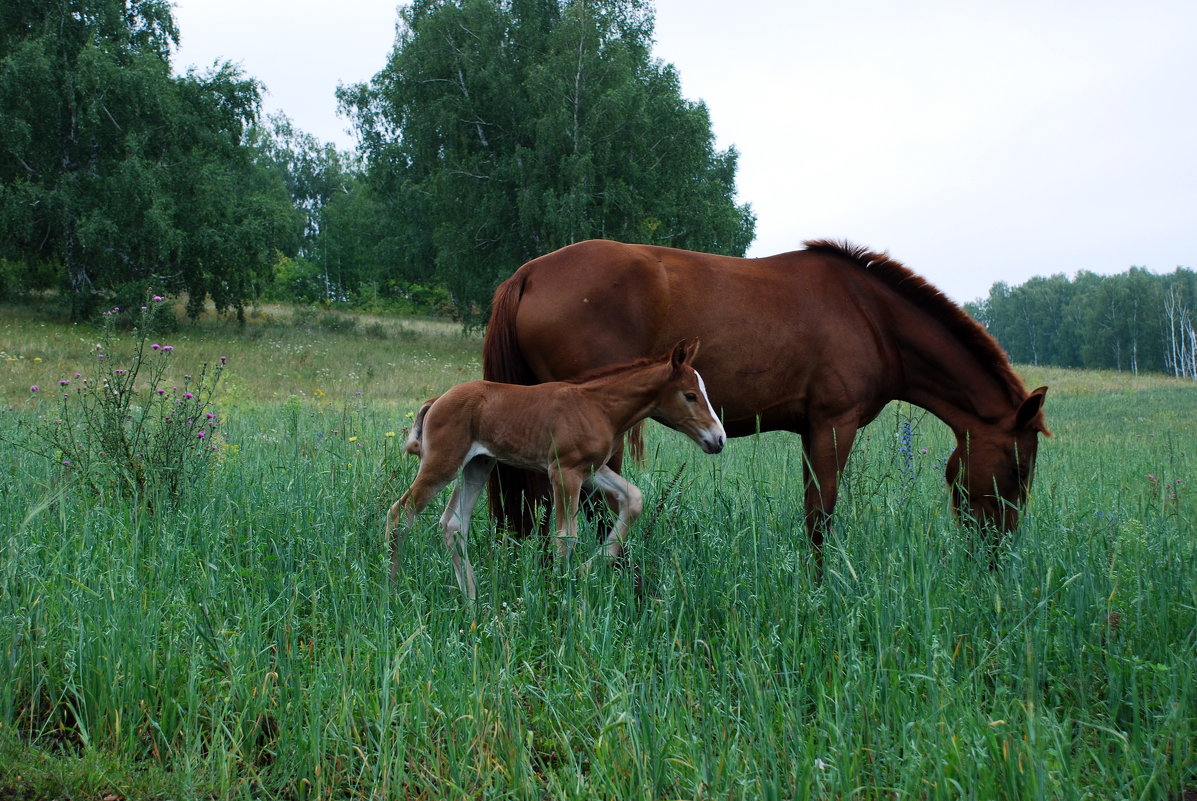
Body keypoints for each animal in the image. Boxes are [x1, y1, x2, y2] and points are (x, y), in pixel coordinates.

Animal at [387, 337, 722, 598]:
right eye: (690, 395)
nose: (718, 439)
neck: (599, 407)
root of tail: (437, 399)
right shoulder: (564, 471)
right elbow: (565, 536)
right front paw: (561, 591)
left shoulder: (592, 470)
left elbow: (634, 499)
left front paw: (588, 569)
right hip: (443, 463)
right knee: (400, 512)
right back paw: (391, 590)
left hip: (478, 465)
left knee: (453, 524)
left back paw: (472, 600)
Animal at [478, 237, 1048, 550]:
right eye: (1018, 469)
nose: (997, 548)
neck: (872, 315)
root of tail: (529, 273)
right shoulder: (833, 425)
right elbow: (820, 518)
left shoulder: (811, 431)